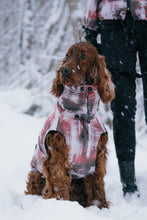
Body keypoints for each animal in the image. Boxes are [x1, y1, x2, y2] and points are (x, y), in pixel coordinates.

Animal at [25, 42, 115, 209]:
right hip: (36, 173)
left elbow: (97, 183)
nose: (64, 70)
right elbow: (59, 180)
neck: (81, 113)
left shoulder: (98, 154)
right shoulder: (57, 150)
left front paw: (100, 207)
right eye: (67, 55)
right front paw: (60, 203)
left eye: (83, 55)